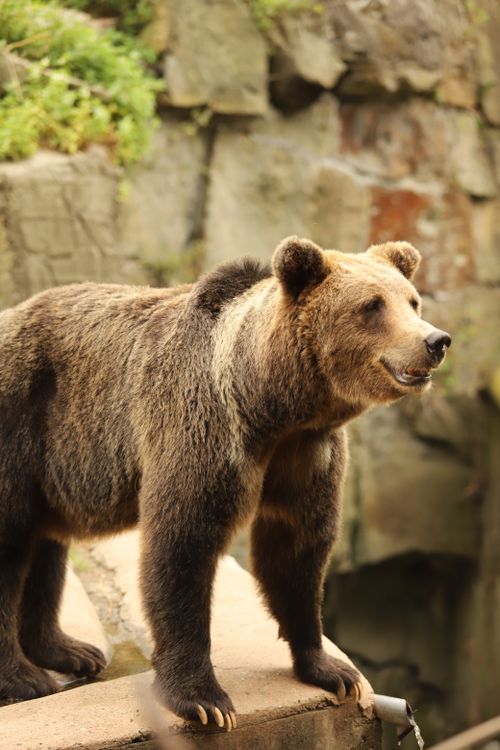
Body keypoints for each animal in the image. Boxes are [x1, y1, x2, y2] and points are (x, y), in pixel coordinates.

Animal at [0, 236, 451, 728]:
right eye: (372, 305)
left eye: (412, 300)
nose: (435, 340)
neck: (273, 404)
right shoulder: (206, 431)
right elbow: (183, 547)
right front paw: (204, 700)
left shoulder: (308, 453)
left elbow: (297, 551)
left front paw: (332, 669)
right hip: (24, 416)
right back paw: (25, 678)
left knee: (45, 546)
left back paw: (69, 650)